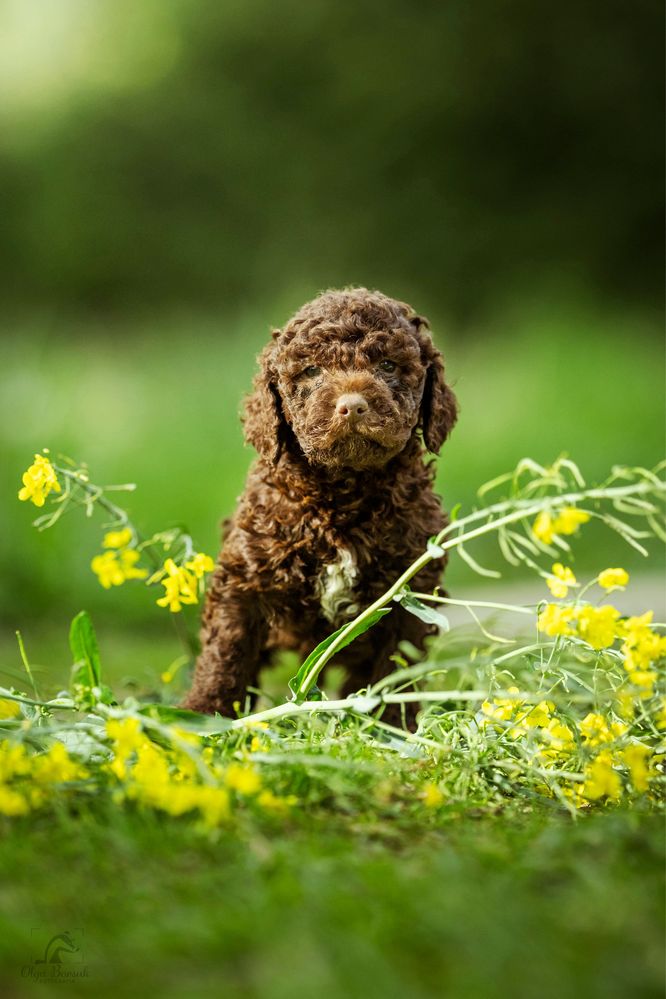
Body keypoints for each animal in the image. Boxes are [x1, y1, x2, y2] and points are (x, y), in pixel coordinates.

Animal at [184, 290, 460, 720]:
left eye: (387, 365)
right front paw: (203, 716)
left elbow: (396, 669)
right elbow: (225, 655)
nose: (353, 406)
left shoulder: (408, 591)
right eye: (312, 370)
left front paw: (390, 724)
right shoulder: (243, 582)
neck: (341, 495)